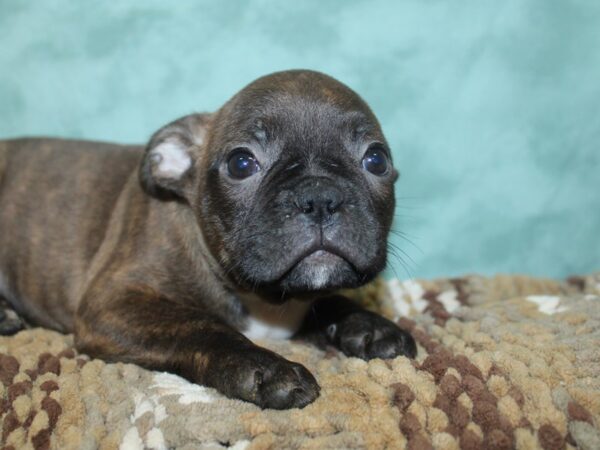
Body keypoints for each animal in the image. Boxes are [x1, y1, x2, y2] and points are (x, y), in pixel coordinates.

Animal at [0, 69, 414, 408]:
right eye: (241, 163)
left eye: (376, 160)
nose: (320, 196)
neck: (265, 298)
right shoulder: (113, 302)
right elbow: (198, 324)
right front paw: (266, 369)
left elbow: (330, 300)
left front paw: (370, 325)